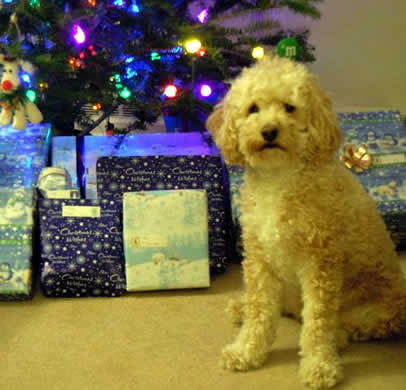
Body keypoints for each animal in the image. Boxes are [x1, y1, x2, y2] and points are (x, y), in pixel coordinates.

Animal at [208, 56, 406, 388]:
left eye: (289, 107)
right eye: (253, 108)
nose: (269, 131)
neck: (279, 177)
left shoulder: (319, 264)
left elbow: (317, 323)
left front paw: (319, 366)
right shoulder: (260, 259)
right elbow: (260, 312)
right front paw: (246, 351)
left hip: (377, 311)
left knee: (343, 326)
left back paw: (337, 338)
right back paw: (242, 306)